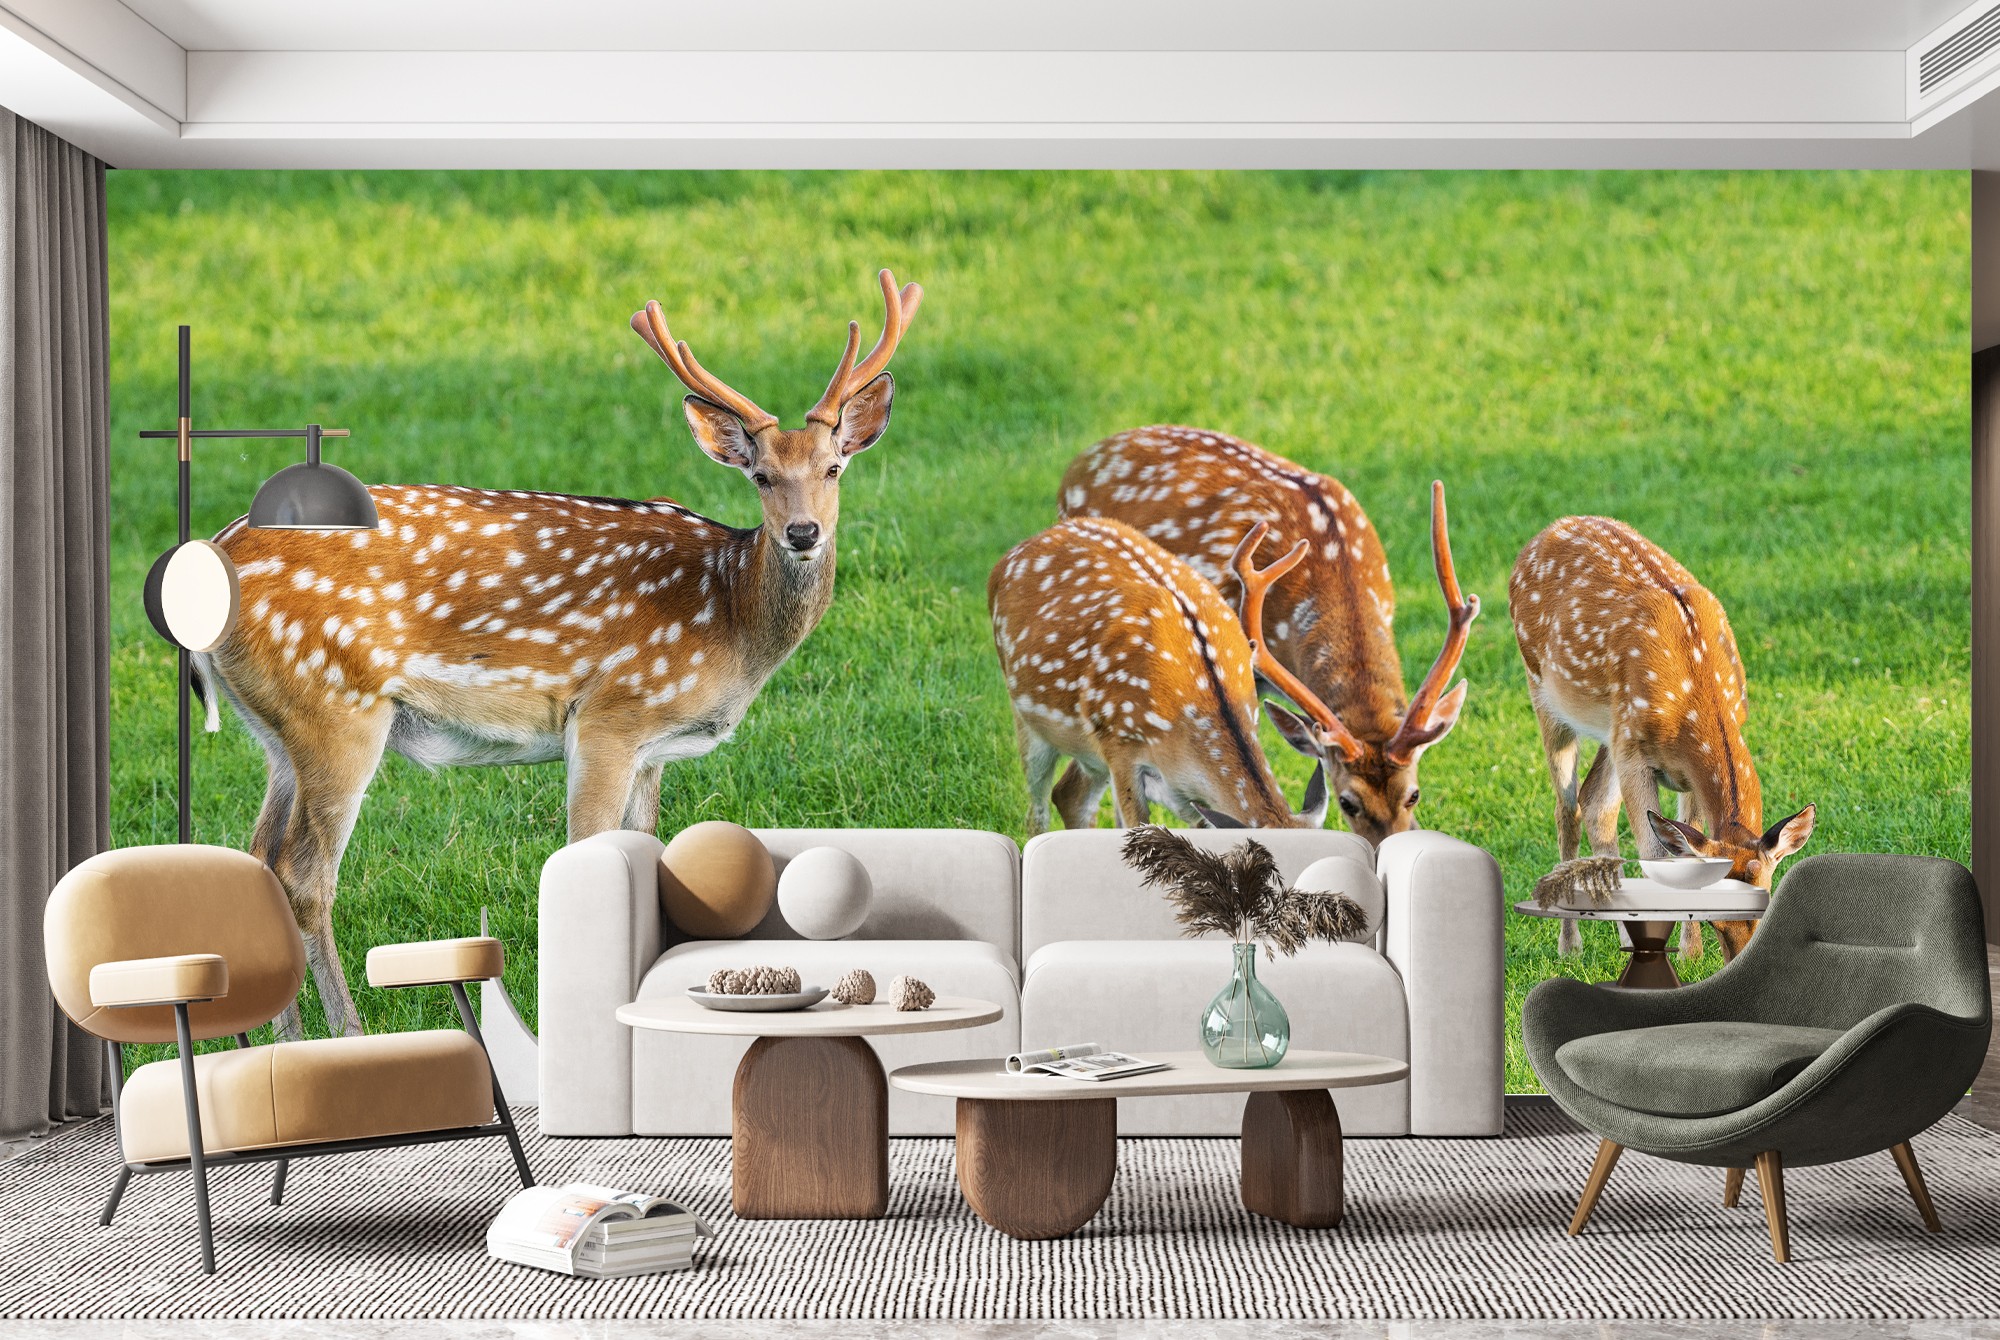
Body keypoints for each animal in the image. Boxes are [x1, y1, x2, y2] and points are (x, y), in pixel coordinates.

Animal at [195, 269, 921, 1039]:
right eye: (761, 477)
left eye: (835, 468)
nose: (804, 533)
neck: (731, 619)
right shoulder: (612, 713)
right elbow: (582, 855)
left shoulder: (653, 749)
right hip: (335, 705)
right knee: (306, 875)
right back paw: (346, 1036)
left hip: (275, 729)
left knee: (260, 855)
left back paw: (267, 1041)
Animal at [1509, 515, 1815, 960]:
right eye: (1718, 920)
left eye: (1765, 905)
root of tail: (1548, 529)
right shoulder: (1634, 752)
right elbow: (1655, 854)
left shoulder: (1670, 765)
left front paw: (1690, 953)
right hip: (1546, 693)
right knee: (1568, 809)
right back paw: (1571, 944)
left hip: (1612, 730)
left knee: (1595, 803)